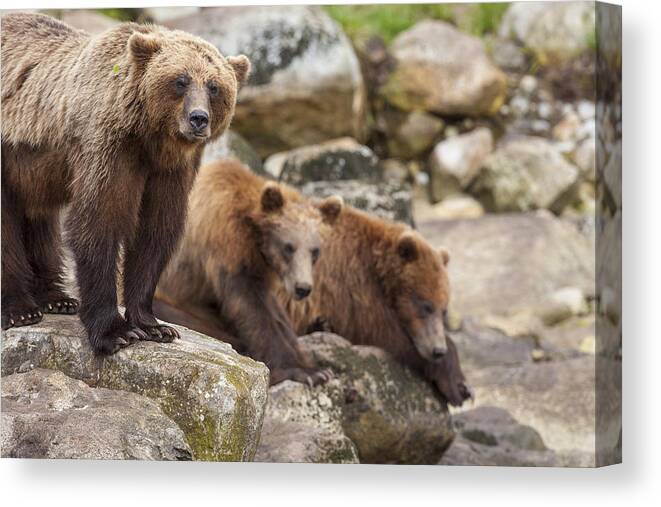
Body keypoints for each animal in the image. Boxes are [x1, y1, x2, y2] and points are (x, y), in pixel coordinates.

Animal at [1, 10, 249, 354]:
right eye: (181, 80)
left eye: (214, 86)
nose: (198, 119)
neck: (150, 137)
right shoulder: (109, 148)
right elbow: (100, 222)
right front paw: (115, 332)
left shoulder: (171, 170)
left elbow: (155, 232)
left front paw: (154, 325)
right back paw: (20, 309)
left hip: (34, 172)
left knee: (40, 219)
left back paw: (57, 298)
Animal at [154, 161, 340, 386]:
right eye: (288, 247)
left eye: (315, 250)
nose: (302, 288)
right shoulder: (227, 246)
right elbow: (252, 309)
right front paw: (304, 371)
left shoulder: (260, 267)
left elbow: (276, 315)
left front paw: (316, 367)